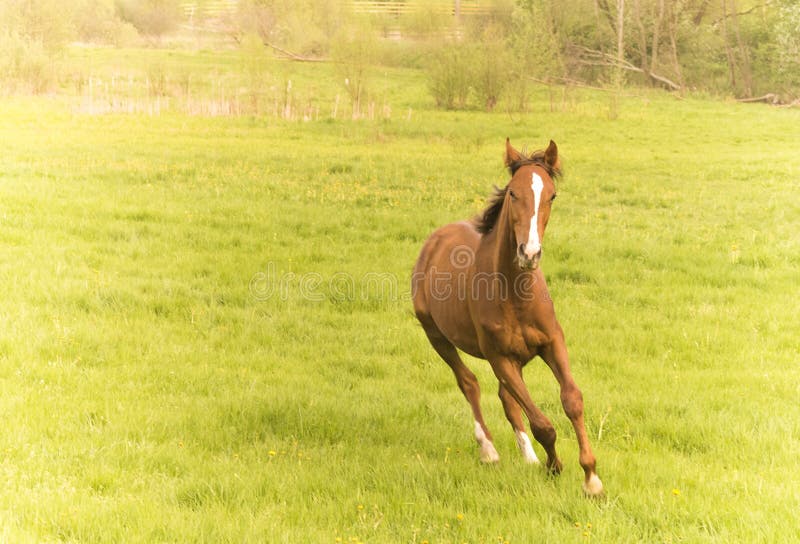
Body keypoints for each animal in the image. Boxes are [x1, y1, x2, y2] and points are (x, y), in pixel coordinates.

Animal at [411, 139, 603, 496]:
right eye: (513, 193)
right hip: (437, 336)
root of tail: (435, 240)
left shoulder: (552, 343)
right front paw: (554, 466)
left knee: (506, 397)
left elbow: (572, 400)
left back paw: (527, 457)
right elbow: (542, 423)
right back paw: (489, 450)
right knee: (469, 383)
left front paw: (591, 478)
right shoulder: (498, 356)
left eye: (552, 195)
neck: (515, 292)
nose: (529, 253)